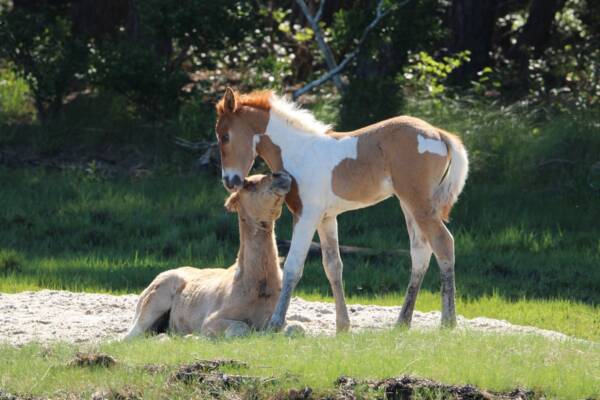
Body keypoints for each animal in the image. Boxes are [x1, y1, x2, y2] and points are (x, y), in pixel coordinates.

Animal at [125, 172, 290, 338]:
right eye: (249, 184)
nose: (281, 176)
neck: (257, 288)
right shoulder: (211, 320)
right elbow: (240, 327)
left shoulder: (274, 319)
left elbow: (291, 328)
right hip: (153, 303)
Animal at [216, 88, 468, 332]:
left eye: (224, 136)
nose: (229, 181)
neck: (298, 151)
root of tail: (439, 133)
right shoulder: (326, 219)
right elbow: (333, 267)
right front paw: (343, 326)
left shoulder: (306, 216)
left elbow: (292, 266)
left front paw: (275, 323)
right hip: (409, 206)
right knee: (420, 254)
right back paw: (402, 323)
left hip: (421, 205)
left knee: (444, 245)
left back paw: (448, 322)